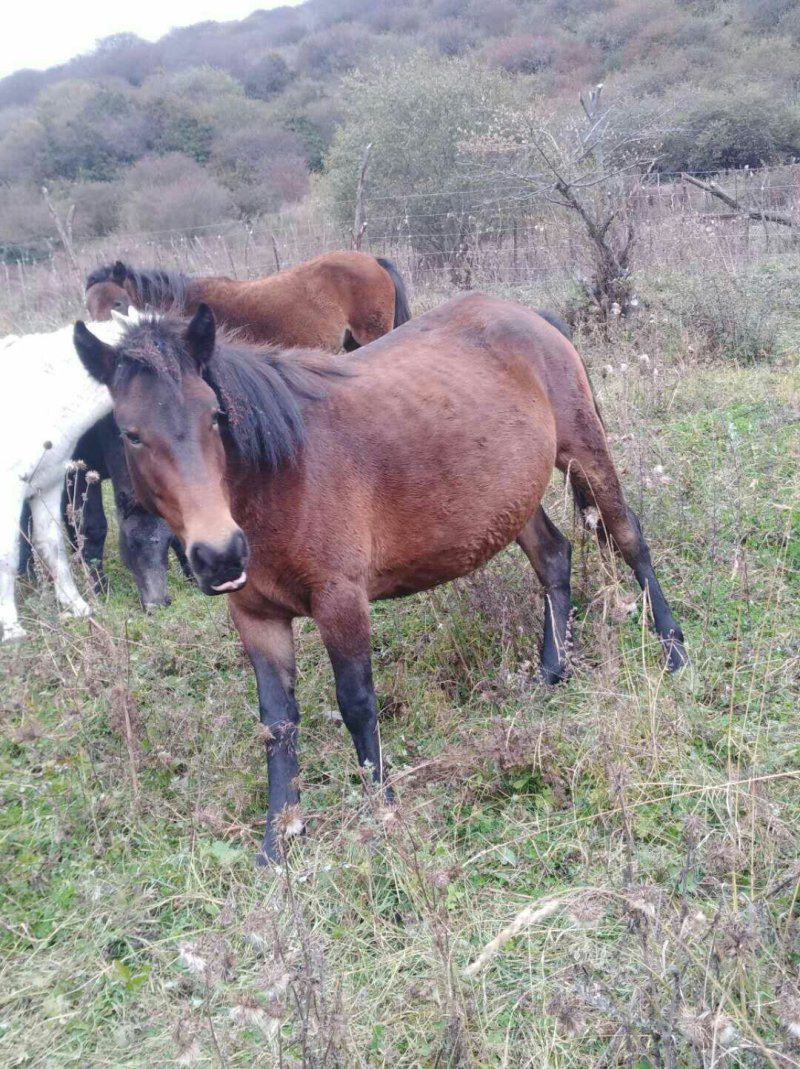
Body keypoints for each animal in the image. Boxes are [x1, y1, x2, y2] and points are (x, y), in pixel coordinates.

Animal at [0, 319, 132, 642]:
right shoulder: (8, 490)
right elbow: (7, 554)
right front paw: (11, 628)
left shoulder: (47, 485)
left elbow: (53, 544)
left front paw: (77, 606)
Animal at [73, 295, 686, 861]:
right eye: (131, 434)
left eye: (215, 417)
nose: (220, 555)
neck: (283, 473)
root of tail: (530, 315)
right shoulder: (256, 617)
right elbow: (277, 724)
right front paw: (280, 836)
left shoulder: (341, 602)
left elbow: (357, 704)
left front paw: (383, 810)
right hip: (512, 498)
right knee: (554, 557)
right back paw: (552, 670)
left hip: (584, 454)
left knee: (630, 540)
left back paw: (672, 647)